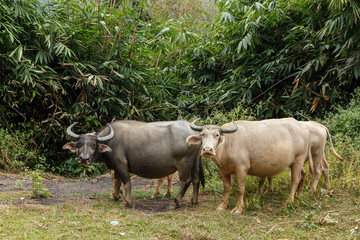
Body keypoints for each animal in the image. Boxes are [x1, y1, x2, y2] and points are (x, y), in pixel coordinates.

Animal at [63, 120, 204, 208]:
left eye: (93, 144)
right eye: (79, 143)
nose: (83, 158)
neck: (110, 142)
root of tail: (196, 133)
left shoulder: (122, 165)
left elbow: (127, 183)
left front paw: (126, 202)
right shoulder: (116, 167)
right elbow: (117, 182)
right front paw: (115, 196)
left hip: (184, 163)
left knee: (185, 181)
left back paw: (174, 203)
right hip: (195, 162)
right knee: (196, 179)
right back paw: (194, 201)